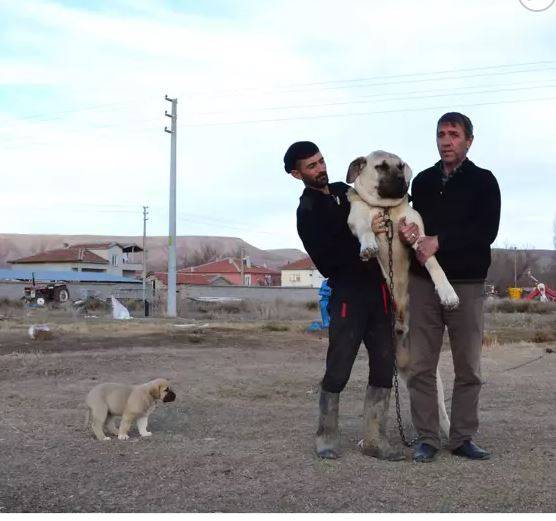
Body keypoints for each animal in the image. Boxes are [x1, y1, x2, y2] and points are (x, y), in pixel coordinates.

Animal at [346, 149, 458, 434]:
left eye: (400, 166)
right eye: (381, 166)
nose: (402, 183)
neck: (386, 210)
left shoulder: (416, 234)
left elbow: (434, 264)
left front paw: (448, 293)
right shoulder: (357, 218)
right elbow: (365, 229)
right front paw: (368, 246)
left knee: (437, 403)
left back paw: (444, 430)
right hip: (386, 363)